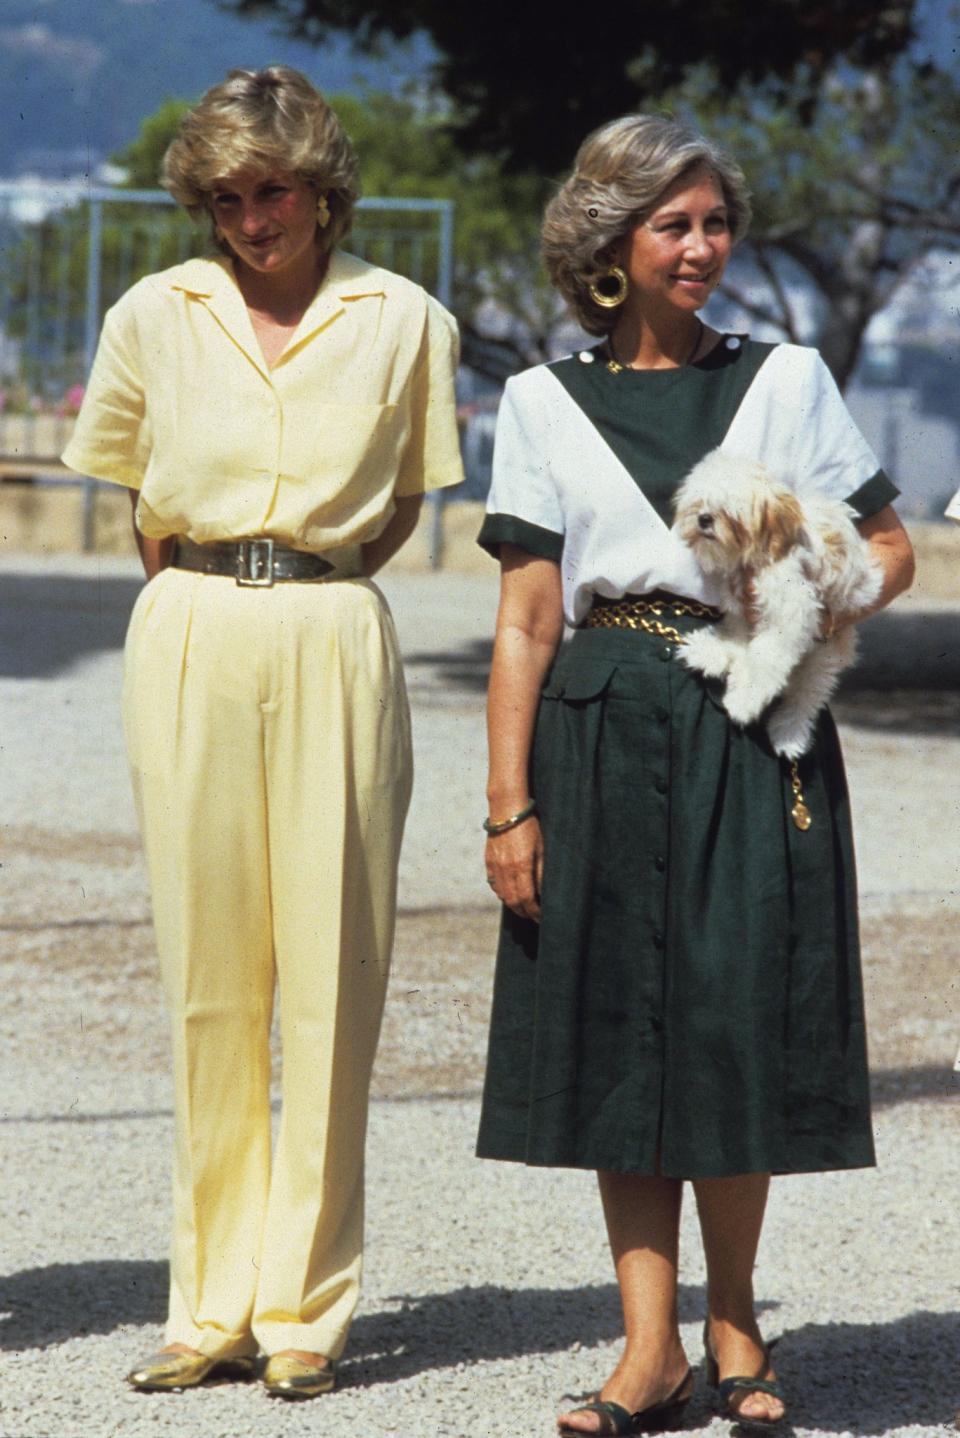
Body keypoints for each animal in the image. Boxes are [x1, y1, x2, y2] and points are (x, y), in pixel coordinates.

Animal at [672, 454, 879, 759]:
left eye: (730, 511)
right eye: (701, 503)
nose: (704, 519)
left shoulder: (791, 614)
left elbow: (764, 659)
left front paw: (743, 700)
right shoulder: (742, 607)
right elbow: (735, 635)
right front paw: (712, 651)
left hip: (822, 656)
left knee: (805, 697)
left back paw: (789, 735)